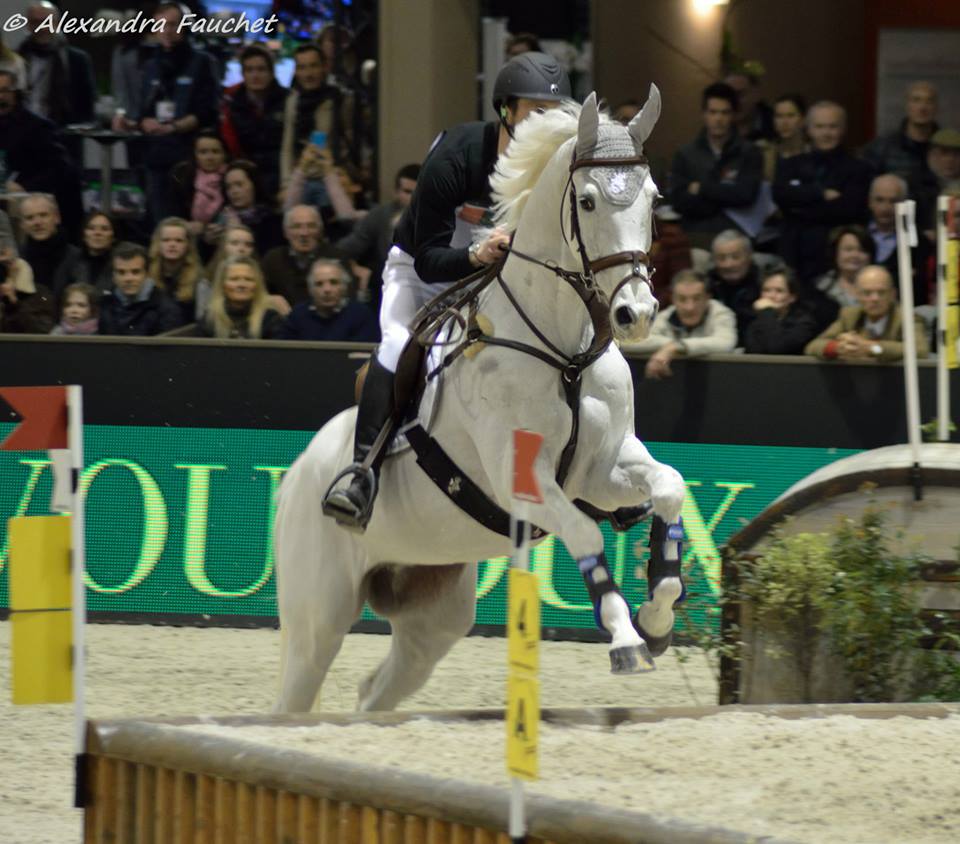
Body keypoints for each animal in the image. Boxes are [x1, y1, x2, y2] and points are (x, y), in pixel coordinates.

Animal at [274, 89, 688, 712]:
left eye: (654, 197)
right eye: (587, 201)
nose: (634, 314)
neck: (565, 352)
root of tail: (296, 473)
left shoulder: (600, 468)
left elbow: (669, 487)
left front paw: (658, 615)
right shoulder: (523, 483)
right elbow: (586, 534)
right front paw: (624, 638)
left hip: (434, 607)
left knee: (379, 690)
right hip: (317, 616)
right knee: (297, 690)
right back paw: (350, 493)